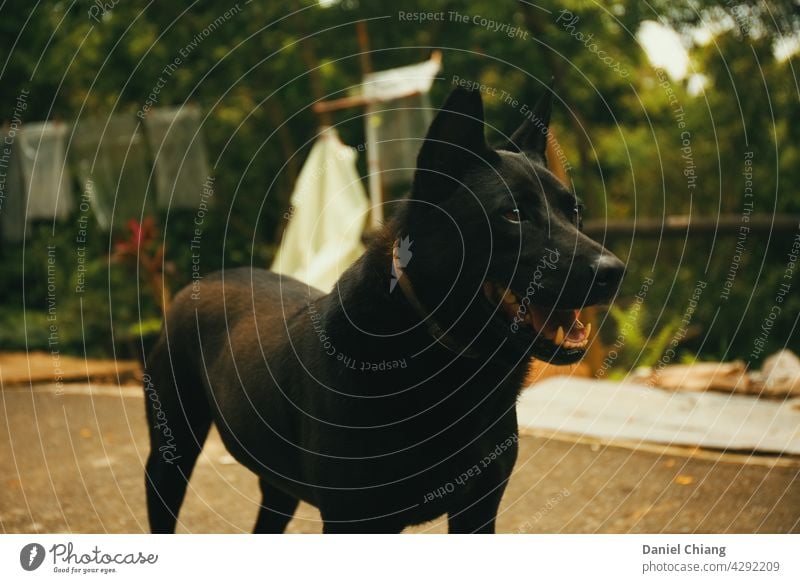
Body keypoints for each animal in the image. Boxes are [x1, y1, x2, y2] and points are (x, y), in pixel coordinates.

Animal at [147, 83, 628, 532]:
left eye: (575, 211)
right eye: (513, 214)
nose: (614, 272)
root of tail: (204, 280)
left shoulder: (479, 507)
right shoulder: (355, 519)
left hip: (277, 487)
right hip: (170, 458)